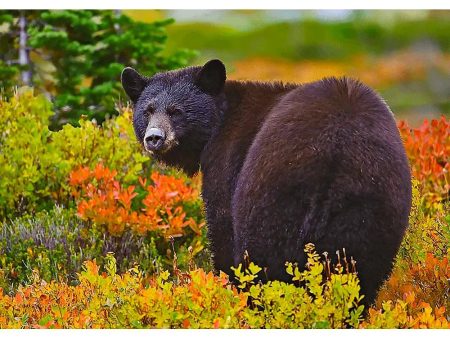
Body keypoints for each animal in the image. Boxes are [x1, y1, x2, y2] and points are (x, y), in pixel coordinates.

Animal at [121, 59, 414, 304]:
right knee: (362, 271)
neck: (220, 120)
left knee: (265, 262)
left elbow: (222, 228)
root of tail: (336, 154)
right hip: (372, 207)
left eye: (176, 111)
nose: (154, 138)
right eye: (148, 110)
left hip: (273, 199)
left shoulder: (227, 159)